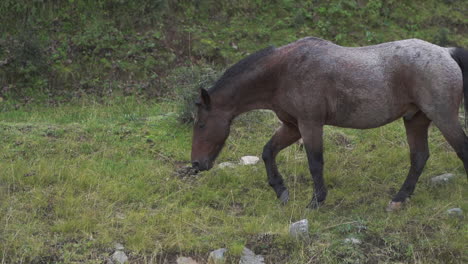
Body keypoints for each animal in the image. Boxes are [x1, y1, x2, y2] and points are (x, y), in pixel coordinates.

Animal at [190, 36, 468, 210]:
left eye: (201, 124)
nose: (196, 164)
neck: (282, 72)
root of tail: (445, 52)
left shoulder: (310, 124)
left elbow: (315, 163)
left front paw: (316, 201)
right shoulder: (292, 126)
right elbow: (268, 151)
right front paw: (280, 190)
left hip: (443, 117)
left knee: (461, 149)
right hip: (415, 119)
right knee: (419, 157)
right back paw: (399, 199)